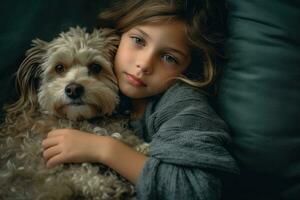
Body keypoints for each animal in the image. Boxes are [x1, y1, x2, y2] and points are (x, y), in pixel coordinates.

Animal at [0, 27, 149, 200]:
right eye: (59, 67)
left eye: (96, 67)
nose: (73, 89)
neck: (79, 120)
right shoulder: (39, 164)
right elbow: (73, 173)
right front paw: (107, 186)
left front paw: (140, 146)